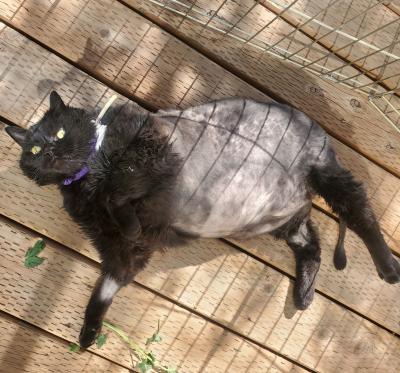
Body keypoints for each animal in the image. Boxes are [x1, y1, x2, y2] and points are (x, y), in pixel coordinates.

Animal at [6, 91, 400, 348]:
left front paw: (127, 217)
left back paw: (387, 267)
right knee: (313, 241)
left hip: (326, 176)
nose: (50, 152)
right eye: (34, 149)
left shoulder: (153, 154)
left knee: (362, 214)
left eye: (59, 133)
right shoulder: (122, 254)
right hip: (282, 222)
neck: (86, 181)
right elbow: (105, 289)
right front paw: (89, 333)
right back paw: (304, 294)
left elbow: (121, 191)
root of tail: (316, 129)